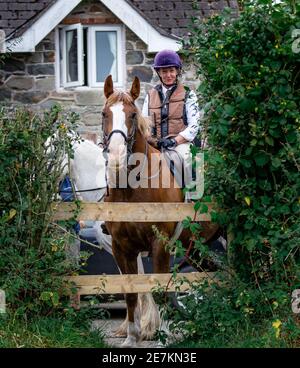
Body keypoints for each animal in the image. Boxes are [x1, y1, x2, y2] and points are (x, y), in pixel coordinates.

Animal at [102, 75, 218, 348]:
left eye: (133, 114)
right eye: (104, 114)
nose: (116, 157)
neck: (133, 190)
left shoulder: (160, 245)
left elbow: (160, 288)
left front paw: (162, 339)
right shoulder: (121, 248)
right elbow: (131, 292)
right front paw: (131, 338)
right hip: (198, 250)